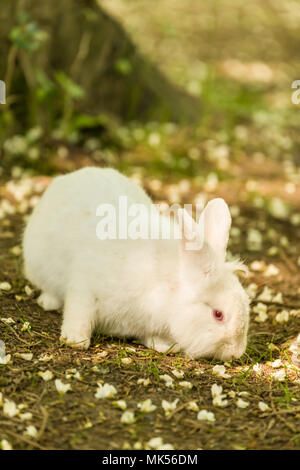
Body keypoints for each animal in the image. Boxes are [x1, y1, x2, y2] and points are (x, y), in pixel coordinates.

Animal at [22, 167, 250, 358]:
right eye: (218, 314)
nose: (236, 353)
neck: (167, 289)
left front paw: (166, 346)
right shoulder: (85, 286)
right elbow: (80, 312)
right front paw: (75, 340)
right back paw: (48, 302)